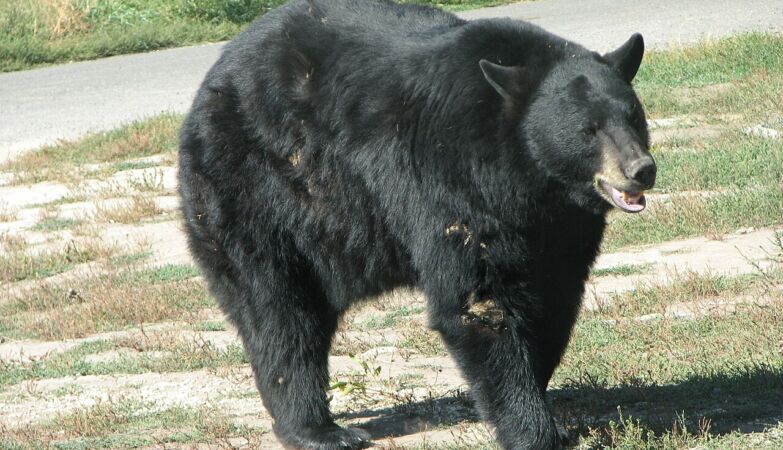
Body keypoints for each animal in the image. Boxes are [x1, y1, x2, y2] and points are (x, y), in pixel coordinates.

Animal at [177, 0, 656, 448]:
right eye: (588, 130)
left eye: (633, 115)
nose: (640, 170)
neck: (526, 177)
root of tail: (208, 84)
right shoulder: (451, 181)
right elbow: (477, 302)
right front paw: (534, 430)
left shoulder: (561, 226)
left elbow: (555, 298)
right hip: (255, 192)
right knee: (280, 312)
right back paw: (318, 429)